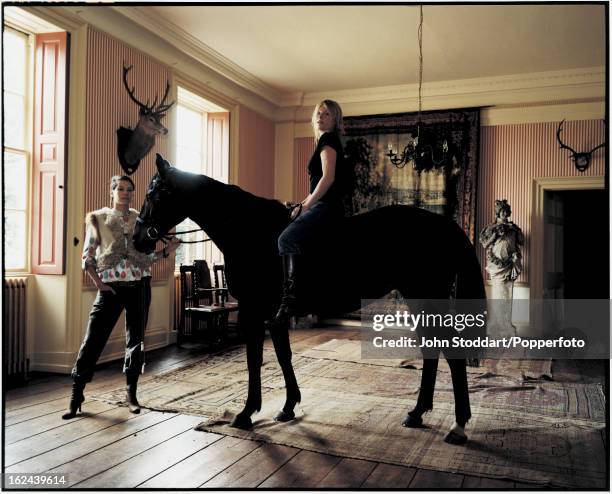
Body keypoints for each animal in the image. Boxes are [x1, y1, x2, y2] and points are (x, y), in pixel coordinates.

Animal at [135, 154, 488, 432]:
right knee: (433, 351)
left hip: (425, 296)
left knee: (449, 353)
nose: (139, 238)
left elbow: (254, 359)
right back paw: (417, 414)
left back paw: (458, 424)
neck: (249, 230)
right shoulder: (273, 315)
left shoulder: (253, 310)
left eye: (154, 193)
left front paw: (247, 413)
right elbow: (283, 355)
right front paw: (288, 406)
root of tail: (445, 225)